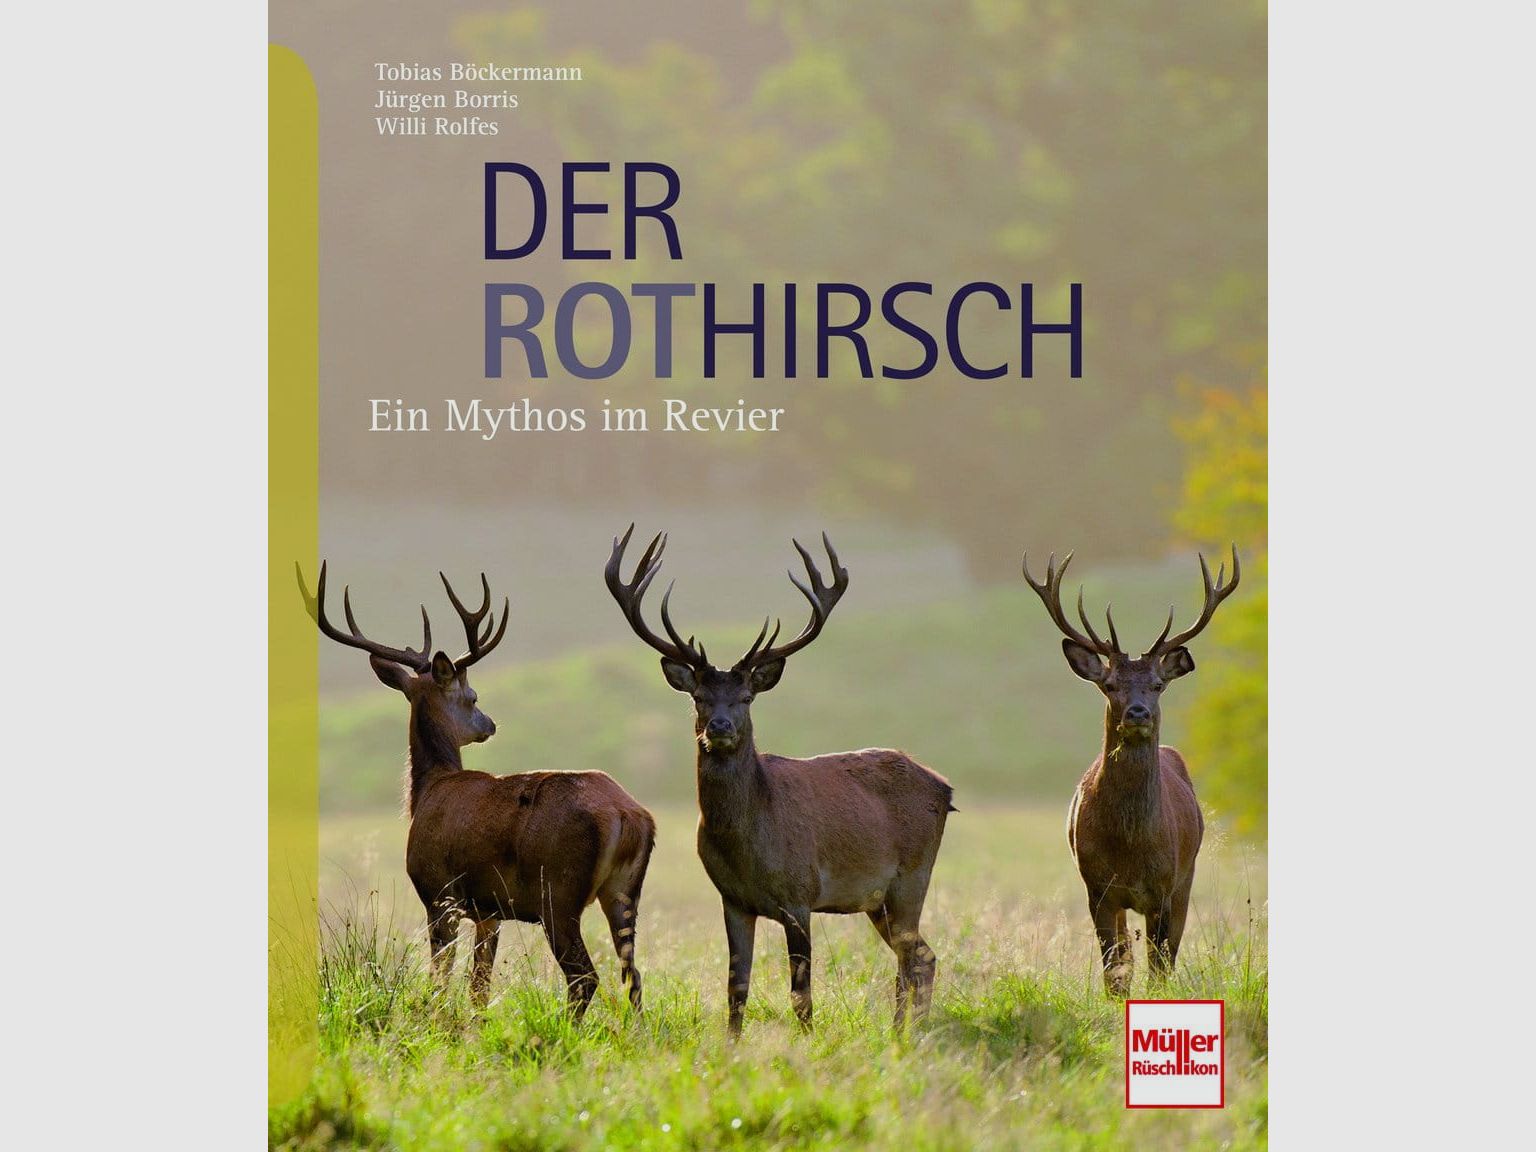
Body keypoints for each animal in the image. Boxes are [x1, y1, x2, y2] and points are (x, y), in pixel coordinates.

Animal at [298, 562, 656, 1017]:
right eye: (473, 697)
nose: (490, 724)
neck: (429, 790)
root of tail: (628, 816)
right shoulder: (490, 911)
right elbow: (478, 987)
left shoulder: (439, 894)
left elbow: (440, 980)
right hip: (624, 892)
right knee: (634, 977)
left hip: (557, 892)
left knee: (584, 977)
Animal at [605, 526, 954, 1036]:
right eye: (699, 697)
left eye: (747, 697)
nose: (720, 727)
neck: (749, 846)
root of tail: (944, 789)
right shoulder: (732, 899)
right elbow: (736, 989)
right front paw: (731, 1046)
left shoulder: (800, 894)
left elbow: (801, 995)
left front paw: (807, 1044)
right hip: (879, 901)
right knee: (921, 957)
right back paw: (906, 1030)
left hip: (912, 876)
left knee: (915, 958)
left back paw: (906, 1032)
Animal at [1021, 547, 1239, 997]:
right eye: (1109, 685)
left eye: (1158, 684)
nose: (1138, 712)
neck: (1132, 846)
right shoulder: (1098, 887)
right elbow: (1115, 969)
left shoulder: (1165, 886)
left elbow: (1159, 967)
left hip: (1187, 877)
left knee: (1167, 954)